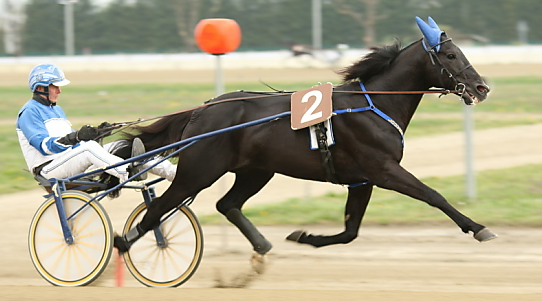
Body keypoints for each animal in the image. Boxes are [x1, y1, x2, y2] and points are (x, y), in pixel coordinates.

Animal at [116, 18, 498, 258]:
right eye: (451, 55)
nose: (482, 88)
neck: (374, 105)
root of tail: (203, 109)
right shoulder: (384, 170)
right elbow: (434, 195)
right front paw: (478, 227)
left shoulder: (362, 180)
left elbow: (350, 230)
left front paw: (305, 236)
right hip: (199, 171)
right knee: (159, 210)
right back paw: (121, 245)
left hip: (256, 171)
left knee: (227, 204)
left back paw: (261, 246)